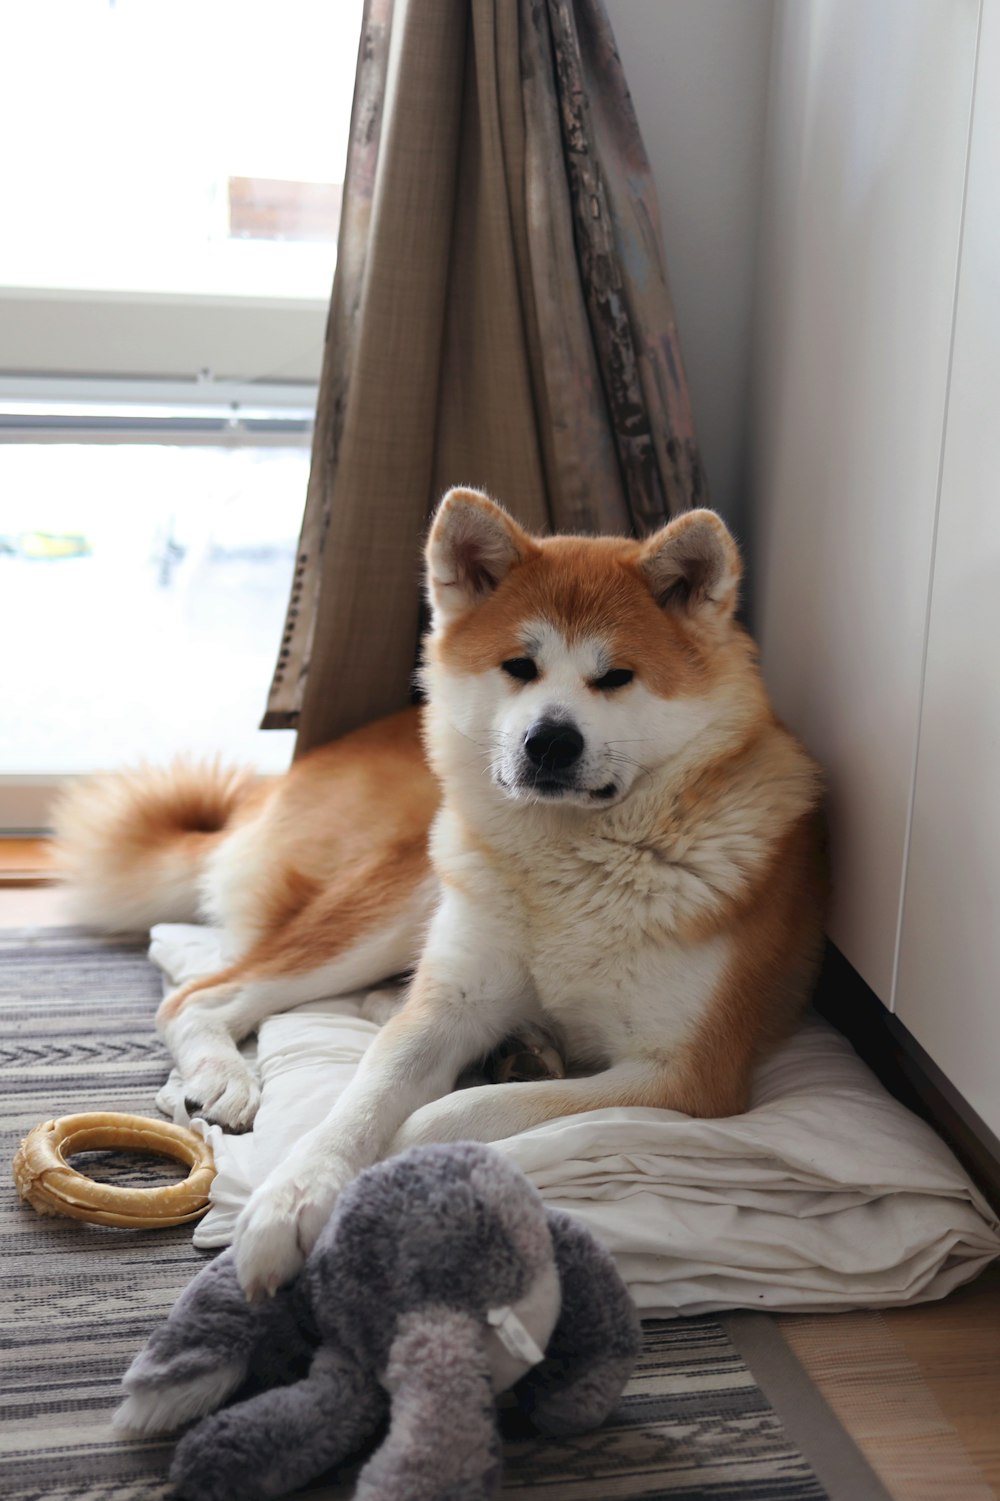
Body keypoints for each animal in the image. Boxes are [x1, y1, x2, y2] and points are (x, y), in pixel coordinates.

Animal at [60, 486, 822, 1296]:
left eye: (616, 676)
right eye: (519, 666)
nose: (550, 741)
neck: (571, 862)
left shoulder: (687, 1074)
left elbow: (464, 1112)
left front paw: (411, 1150)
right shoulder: (449, 1005)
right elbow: (360, 1098)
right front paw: (294, 1195)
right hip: (402, 894)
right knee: (200, 993)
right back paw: (223, 1078)